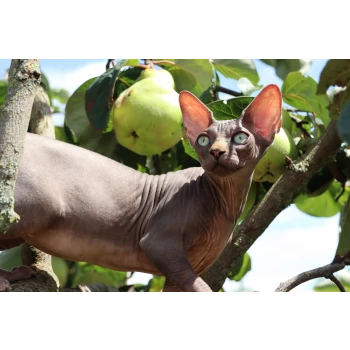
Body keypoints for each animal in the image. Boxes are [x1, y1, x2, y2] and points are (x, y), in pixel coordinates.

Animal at [0, 83, 282, 292]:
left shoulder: (182, 272)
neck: (226, 202)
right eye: (203, 140)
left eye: (241, 137)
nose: (216, 151)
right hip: (40, 207)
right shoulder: (159, 243)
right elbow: (201, 286)